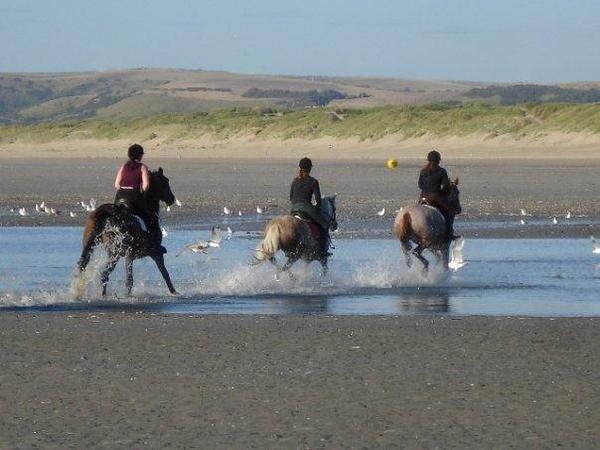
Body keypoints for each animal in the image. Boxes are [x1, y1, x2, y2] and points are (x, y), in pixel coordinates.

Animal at [72, 167, 177, 298]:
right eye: (165, 182)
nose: (172, 199)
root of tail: (105, 213)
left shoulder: (132, 255)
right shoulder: (151, 253)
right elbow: (164, 272)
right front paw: (174, 292)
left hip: (96, 247)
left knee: (93, 270)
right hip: (115, 253)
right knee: (106, 274)